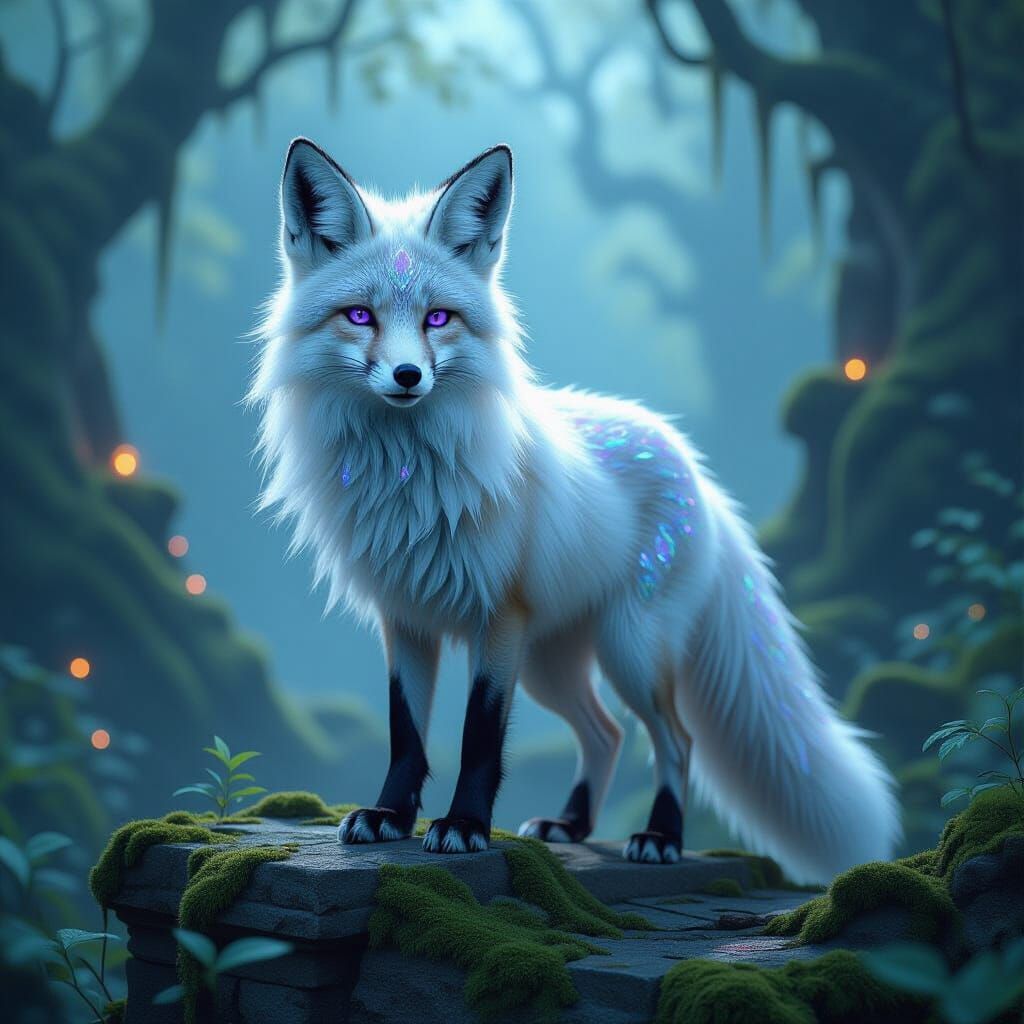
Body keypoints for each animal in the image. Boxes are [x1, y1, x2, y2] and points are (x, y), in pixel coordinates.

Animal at [249, 137, 900, 885]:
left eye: (439, 318)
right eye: (360, 316)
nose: (409, 377)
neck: (408, 478)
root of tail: (694, 467)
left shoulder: (498, 617)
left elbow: (478, 736)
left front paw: (464, 827)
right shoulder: (405, 617)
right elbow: (405, 732)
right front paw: (389, 816)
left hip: (630, 649)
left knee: (674, 739)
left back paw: (661, 838)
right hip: (552, 665)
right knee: (606, 732)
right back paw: (573, 825)